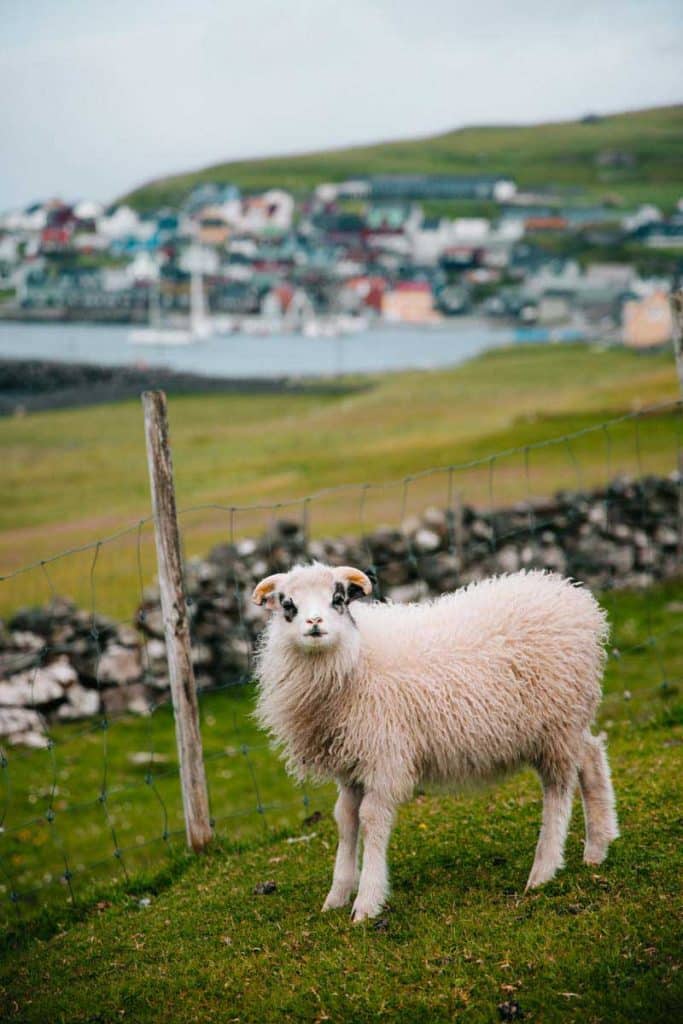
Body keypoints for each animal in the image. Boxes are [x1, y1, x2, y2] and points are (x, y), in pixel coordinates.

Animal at [252, 562, 618, 922]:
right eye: (288, 605)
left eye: (338, 599)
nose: (314, 622)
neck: (355, 658)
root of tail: (573, 596)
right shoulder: (351, 764)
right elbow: (345, 820)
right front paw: (337, 896)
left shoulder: (385, 757)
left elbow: (371, 820)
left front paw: (367, 903)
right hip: (566, 723)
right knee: (591, 756)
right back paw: (597, 847)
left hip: (557, 720)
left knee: (558, 788)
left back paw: (544, 870)